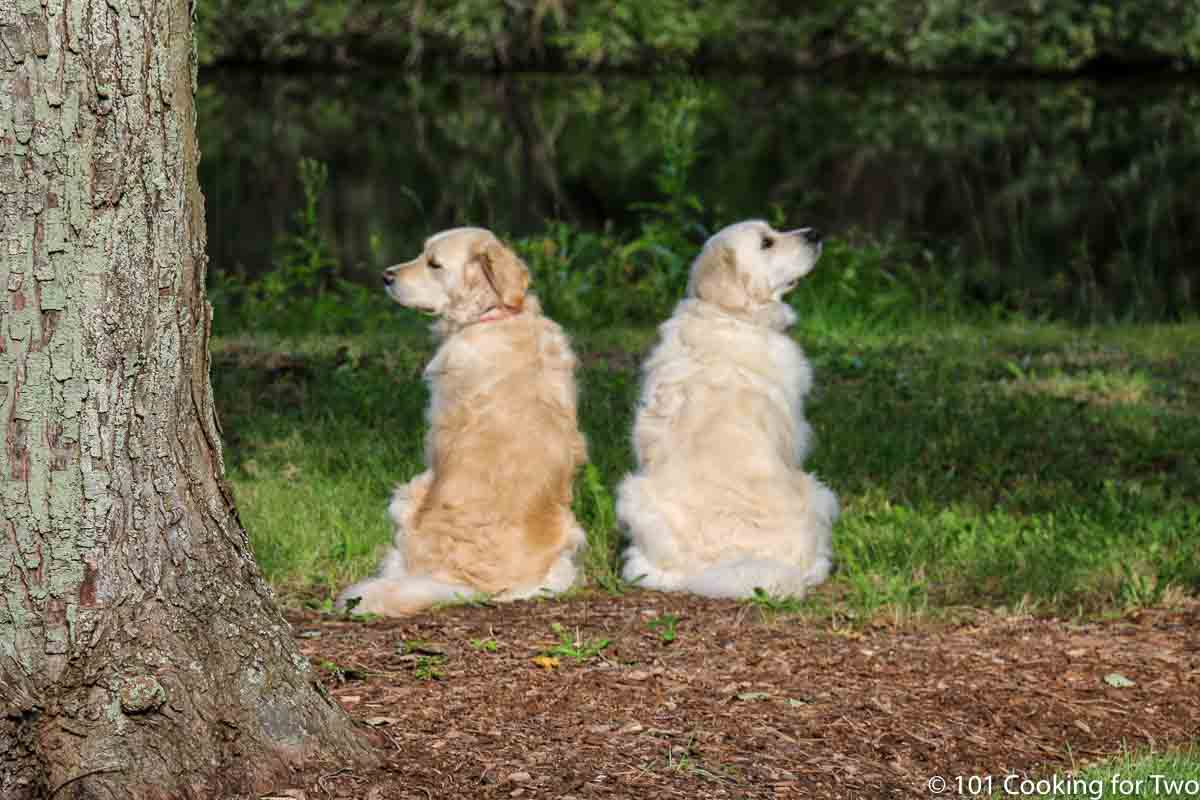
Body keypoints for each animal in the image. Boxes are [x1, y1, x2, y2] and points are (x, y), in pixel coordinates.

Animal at [338, 227, 585, 618]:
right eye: (421, 253)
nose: (386, 276)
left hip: (408, 493)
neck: (494, 315)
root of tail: (469, 586)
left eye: (434, 263)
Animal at [614, 221, 840, 597]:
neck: (728, 313)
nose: (815, 233)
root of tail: (727, 562)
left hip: (633, 496)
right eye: (766, 243)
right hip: (817, 492)